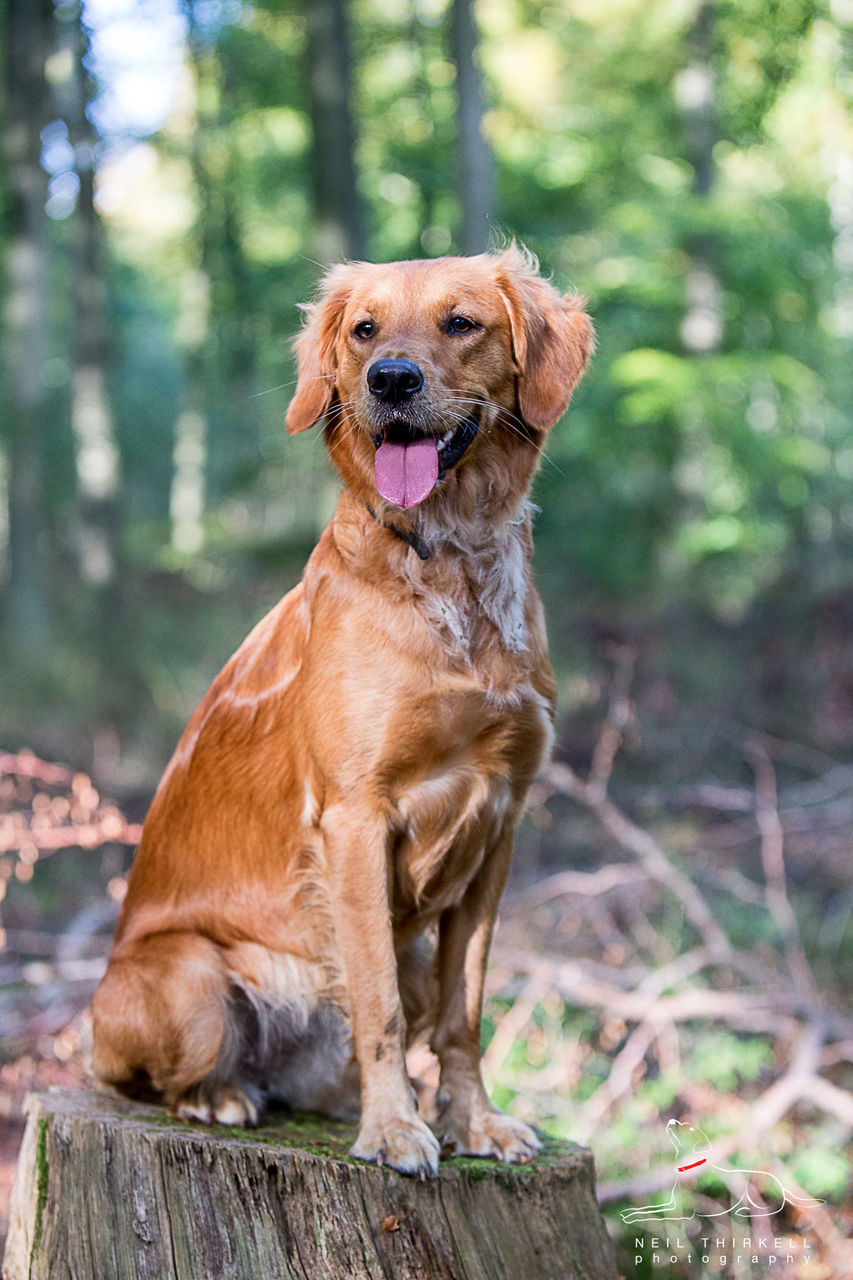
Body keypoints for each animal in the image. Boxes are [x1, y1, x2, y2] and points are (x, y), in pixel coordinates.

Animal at [87, 244, 591, 1172]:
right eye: (363, 330)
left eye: (459, 322)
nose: (390, 379)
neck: (449, 562)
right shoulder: (356, 817)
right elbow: (378, 1004)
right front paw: (394, 1129)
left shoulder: (498, 821)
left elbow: (465, 1011)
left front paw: (472, 1122)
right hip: (191, 982)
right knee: (149, 1077)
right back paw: (221, 1096)